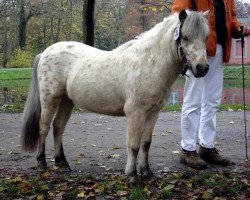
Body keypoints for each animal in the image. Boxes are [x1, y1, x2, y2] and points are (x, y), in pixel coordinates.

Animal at [21, 10, 210, 186]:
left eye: (206, 37)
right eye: (185, 37)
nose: (202, 68)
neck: (148, 64)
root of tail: (45, 52)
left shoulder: (153, 114)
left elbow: (146, 143)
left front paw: (147, 172)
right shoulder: (135, 114)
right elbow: (133, 145)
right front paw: (133, 176)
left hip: (67, 101)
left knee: (58, 127)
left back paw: (62, 163)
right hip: (50, 99)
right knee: (43, 127)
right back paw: (42, 163)